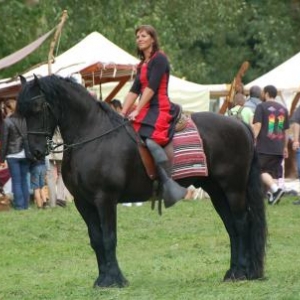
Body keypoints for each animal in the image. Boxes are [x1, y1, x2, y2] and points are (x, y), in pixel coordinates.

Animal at [16, 75, 266, 288]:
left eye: (38, 108)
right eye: (23, 114)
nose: (35, 152)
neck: (92, 136)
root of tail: (240, 125)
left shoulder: (105, 199)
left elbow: (109, 237)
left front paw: (114, 280)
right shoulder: (82, 202)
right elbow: (96, 239)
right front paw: (102, 278)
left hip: (233, 189)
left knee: (242, 223)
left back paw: (241, 272)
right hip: (216, 191)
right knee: (232, 227)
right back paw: (234, 272)